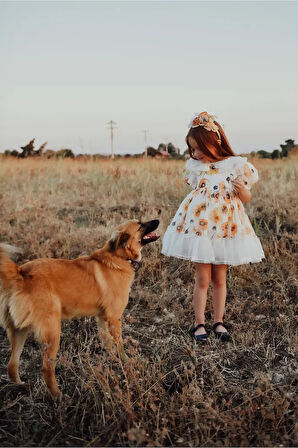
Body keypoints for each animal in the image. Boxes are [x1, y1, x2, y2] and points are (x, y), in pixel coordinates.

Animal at [0, 219, 159, 398]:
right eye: (140, 225)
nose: (158, 221)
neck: (119, 257)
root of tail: (21, 273)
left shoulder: (103, 319)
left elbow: (108, 344)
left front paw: (112, 361)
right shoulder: (113, 318)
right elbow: (119, 345)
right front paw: (125, 362)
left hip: (19, 331)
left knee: (11, 364)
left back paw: (19, 386)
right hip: (53, 333)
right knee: (46, 369)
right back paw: (58, 396)